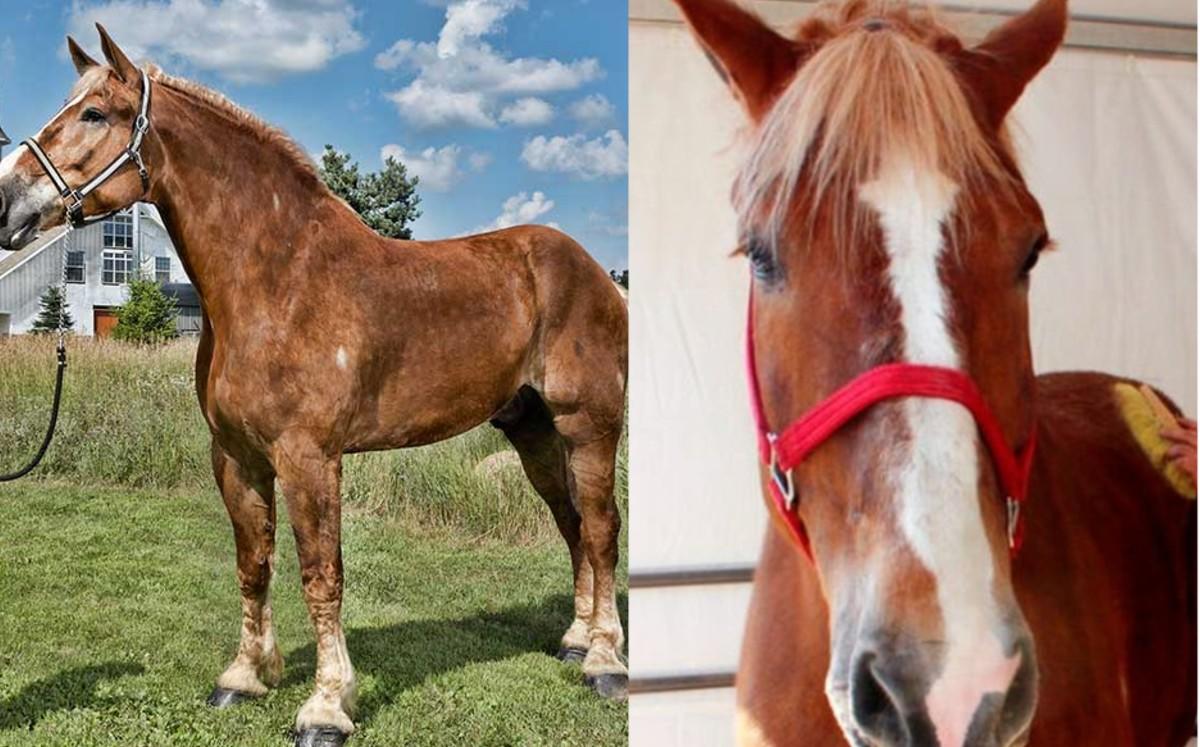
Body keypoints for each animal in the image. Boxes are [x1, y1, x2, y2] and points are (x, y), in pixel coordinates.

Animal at [0, 26, 628, 746]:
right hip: (532, 431)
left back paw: (605, 660)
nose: (5, 201)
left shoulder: (308, 457)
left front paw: (326, 706)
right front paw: (245, 677)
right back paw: (576, 640)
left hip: (589, 424)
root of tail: (595, 272)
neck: (279, 281)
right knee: (571, 525)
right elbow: (254, 564)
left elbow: (321, 575)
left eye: (95, 114)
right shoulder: (237, 457)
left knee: (601, 528)